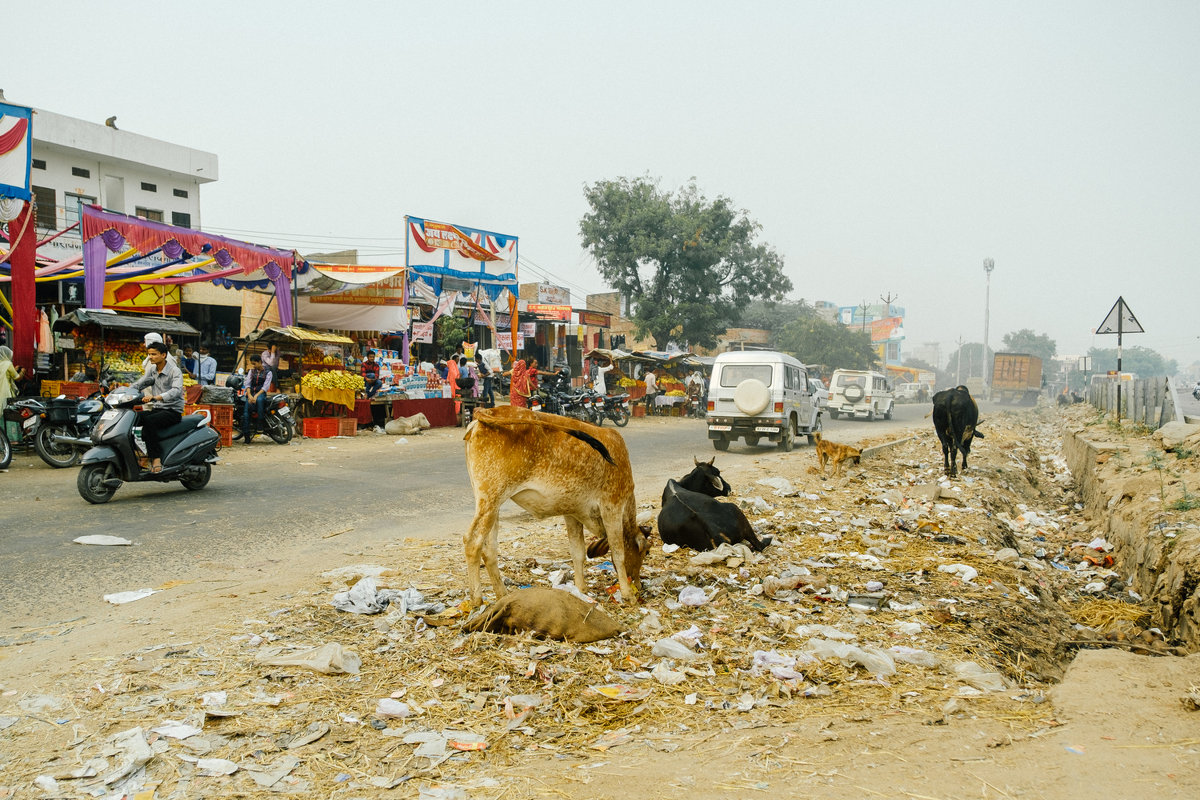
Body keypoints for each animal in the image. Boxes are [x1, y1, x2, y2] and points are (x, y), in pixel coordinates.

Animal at [460, 407, 648, 606]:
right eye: (646, 552)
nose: (639, 585)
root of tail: (488, 411)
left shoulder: (572, 512)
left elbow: (578, 552)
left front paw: (581, 590)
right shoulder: (612, 506)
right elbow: (618, 552)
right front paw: (627, 594)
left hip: (491, 503)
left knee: (489, 550)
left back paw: (503, 595)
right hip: (490, 499)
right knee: (473, 542)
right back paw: (477, 599)